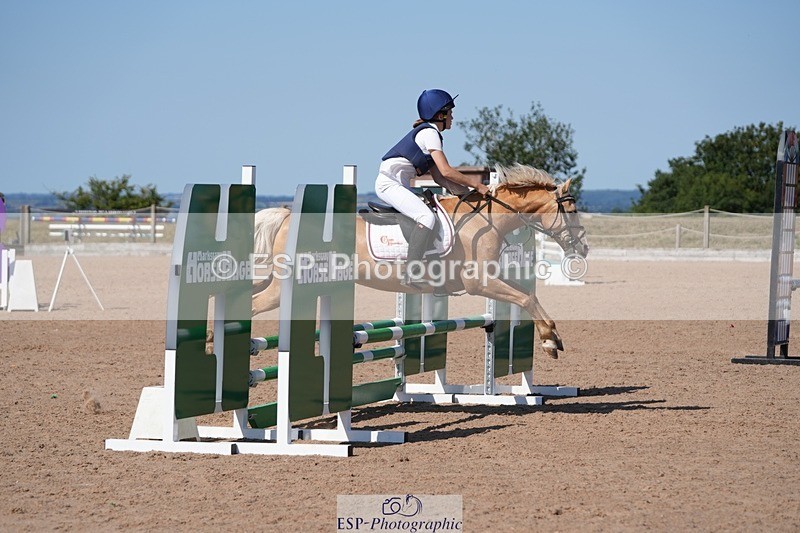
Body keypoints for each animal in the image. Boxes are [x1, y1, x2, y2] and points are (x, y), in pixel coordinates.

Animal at [251, 164, 588, 359]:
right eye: (571, 211)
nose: (583, 247)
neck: (486, 220)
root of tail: (287, 217)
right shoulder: (479, 283)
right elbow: (525, 298)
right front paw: (549, 341)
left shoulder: (490, 278)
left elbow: (528, 294)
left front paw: (553, 338)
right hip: (287, 287)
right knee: (253, 306)